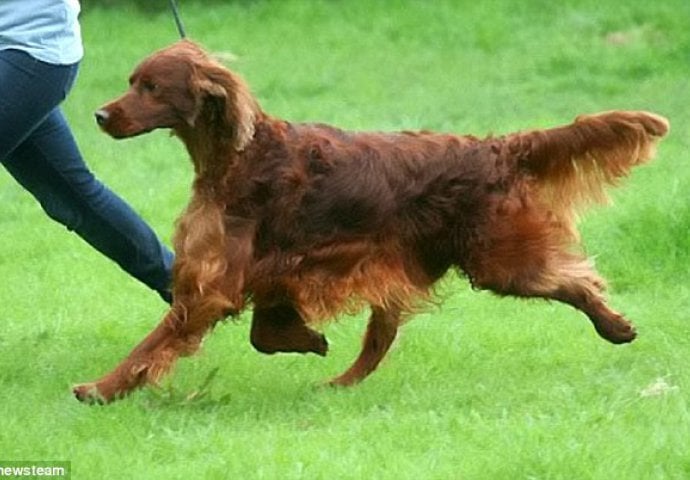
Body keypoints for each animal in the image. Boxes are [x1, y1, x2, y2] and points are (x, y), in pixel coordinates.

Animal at [74, 39, 668, 404]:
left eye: (151, 87)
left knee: (578, 279)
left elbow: (156, 342)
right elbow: (265, 332)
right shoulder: (274, 268)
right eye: (132, 81)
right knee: (380, 340)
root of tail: (495, 148)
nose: (100, 116)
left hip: (498, 259)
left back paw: (615, 327)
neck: (239, 155)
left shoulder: (215, 283)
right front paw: (306, 339)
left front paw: (101, 389)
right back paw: (339, 383)